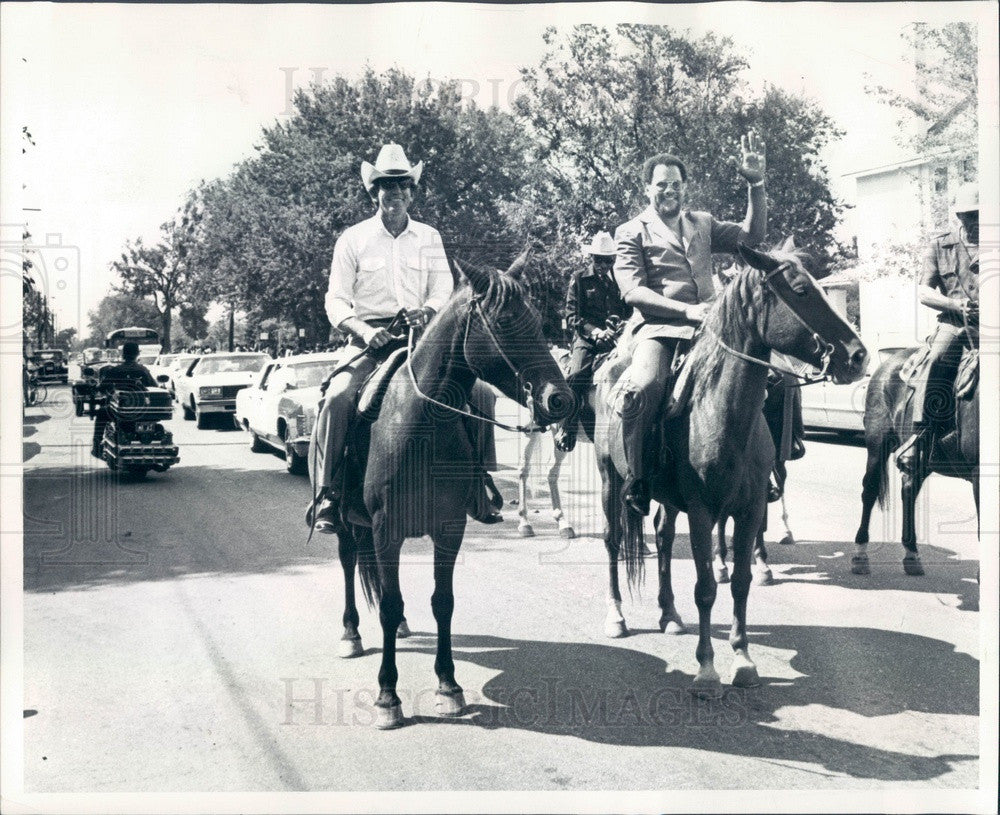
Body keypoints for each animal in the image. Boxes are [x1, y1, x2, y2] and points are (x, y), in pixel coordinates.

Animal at [334, 252, 572, 728]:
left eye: (537, 320)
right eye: (504, 321)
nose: (560, 399)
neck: (418, 425)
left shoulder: (449, 528)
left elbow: (441, 601)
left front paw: (448, 685)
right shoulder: (385, 529)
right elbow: (388, 603)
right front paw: (387, 696)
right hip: (347, 521)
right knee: (349, 562)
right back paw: (350, 632)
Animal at [592, 242, 868, 696]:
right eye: (801, 291)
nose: (859, 355)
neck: (719, 411)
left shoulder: (749, 508)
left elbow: (740, 582)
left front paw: (742, 658)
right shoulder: (703, 512)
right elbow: (706, 588)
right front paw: (706, 670)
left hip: (669, 501)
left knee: (663, 538)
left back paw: (669, 614)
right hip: (610, 482)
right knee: (613, 541)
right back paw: (616, 616)